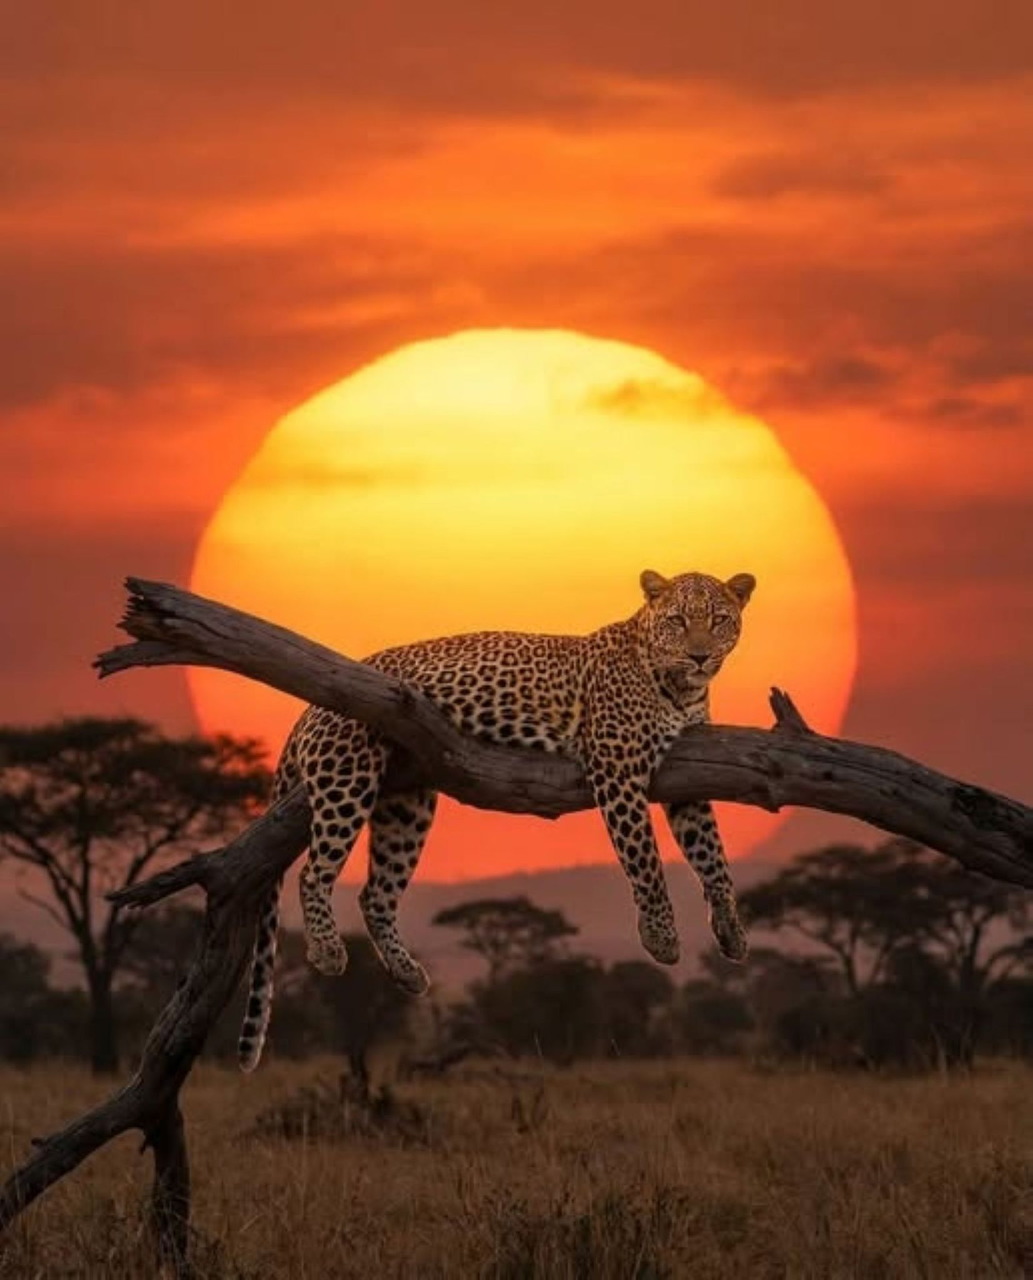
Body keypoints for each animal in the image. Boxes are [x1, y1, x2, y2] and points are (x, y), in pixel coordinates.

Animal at [238, 567, 755, 1070]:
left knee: (375, 894)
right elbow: (645, 859)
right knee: (313, 872)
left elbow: (713, 857)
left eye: (719, 620)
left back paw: (407, 972)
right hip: (348, 776)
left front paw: (730, 928)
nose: (699, 656)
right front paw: (661, 937)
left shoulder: (691, 778)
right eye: (677, 621)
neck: (680, 688)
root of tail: (307, 711)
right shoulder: (618, 768)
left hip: (407, 806)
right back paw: (328, 951)